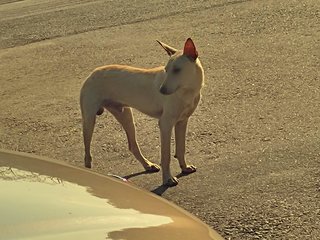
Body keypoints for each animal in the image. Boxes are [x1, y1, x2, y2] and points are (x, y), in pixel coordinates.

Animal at [80, 38, 205, 187]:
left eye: (177, 70)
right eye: (166, 70)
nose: (161, 90)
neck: (186, 91)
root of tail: (91, 73)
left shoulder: (182, 122)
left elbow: (181, 149)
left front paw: (184, 167)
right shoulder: (165, 124)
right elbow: (166, 155)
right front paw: (167, 179)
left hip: (126, 115)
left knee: (133, 145)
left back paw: (148, 165)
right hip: (89, 121)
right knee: (87, 154)